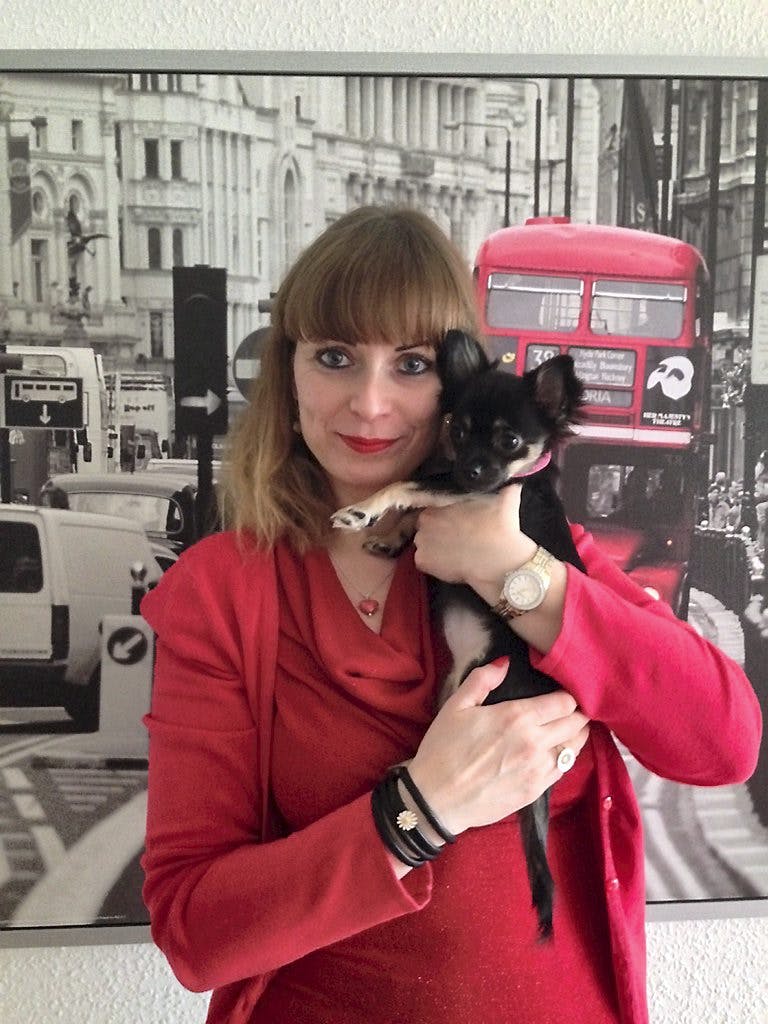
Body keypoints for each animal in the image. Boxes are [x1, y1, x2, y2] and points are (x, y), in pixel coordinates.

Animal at [331, 329, 586, 939]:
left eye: (509, 440)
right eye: (459, 429)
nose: (471, 467)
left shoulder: (474, 494)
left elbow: (407, 482)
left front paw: (363, 512)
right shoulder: (457, 490)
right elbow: (417, 501)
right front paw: (390, 538)